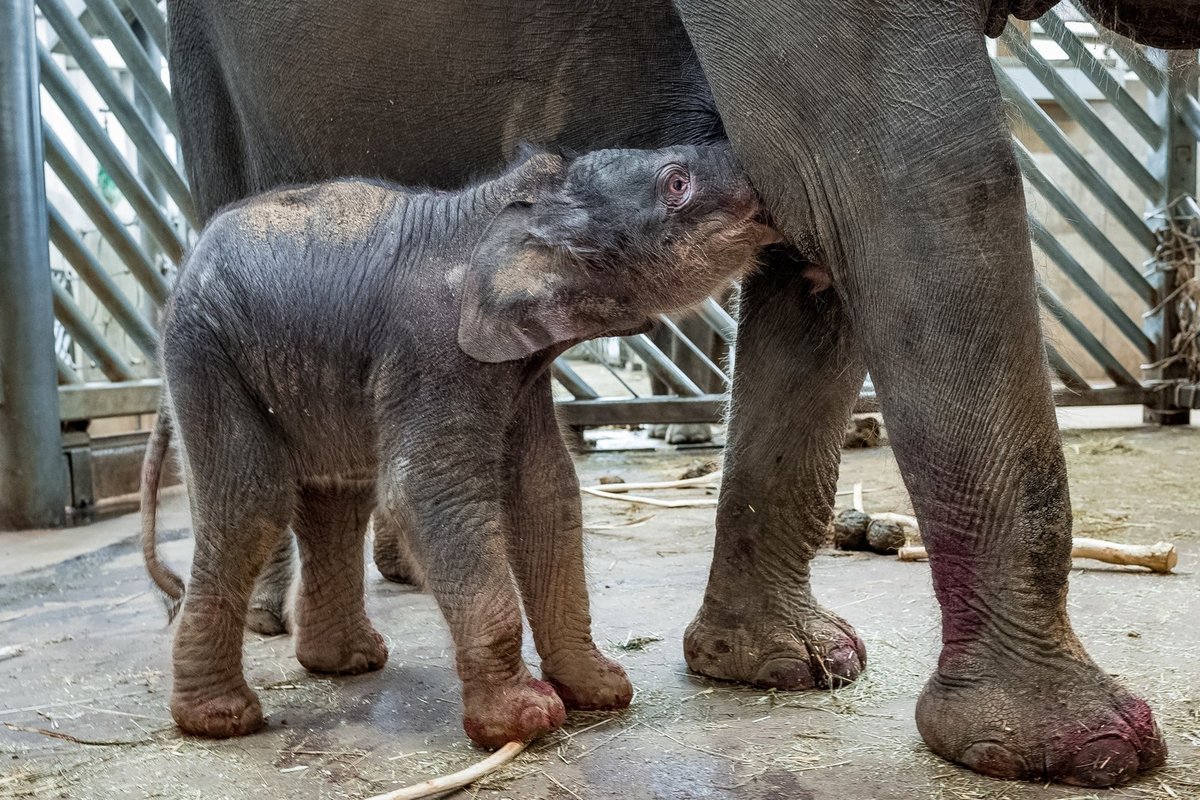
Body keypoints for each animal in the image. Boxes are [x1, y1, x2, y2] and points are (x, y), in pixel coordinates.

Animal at [142, 142, 777, 743]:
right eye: (677, 183)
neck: (513, 202)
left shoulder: (517, 365)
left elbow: (546, 493)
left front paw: (601, 690)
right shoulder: (433, 350)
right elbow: (430, 491)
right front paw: (525, 721)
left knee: (336, 501)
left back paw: (347, 663)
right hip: (206, 355)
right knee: (251, 506)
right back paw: (220, 720)